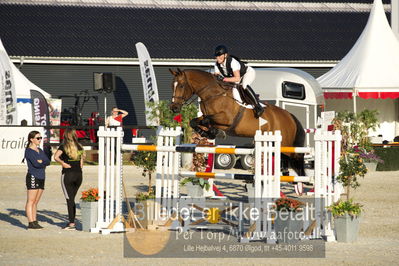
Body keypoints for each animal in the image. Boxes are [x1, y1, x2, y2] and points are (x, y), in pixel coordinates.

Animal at [170, 68, 306, 177]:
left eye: (181, 86)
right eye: (172, 86)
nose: (174, 108)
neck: (213, 94)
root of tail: (290, 116)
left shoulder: (226, 119)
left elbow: (206, 120)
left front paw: (214, 133)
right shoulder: (211, 117)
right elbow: (195, 122)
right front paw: (209, 133)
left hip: (286, 145)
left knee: (297, 159)